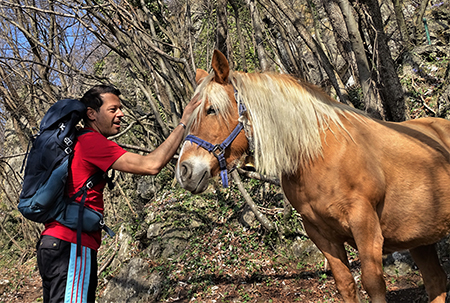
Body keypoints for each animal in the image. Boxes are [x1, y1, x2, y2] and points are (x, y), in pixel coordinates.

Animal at [175, 48, 450, 302]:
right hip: (420, 240)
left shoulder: (366, 226)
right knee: (435, 281)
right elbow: (345, 284)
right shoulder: (321, 234)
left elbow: (373, 283)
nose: (185, 171)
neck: (318, 155)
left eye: (211, 110)